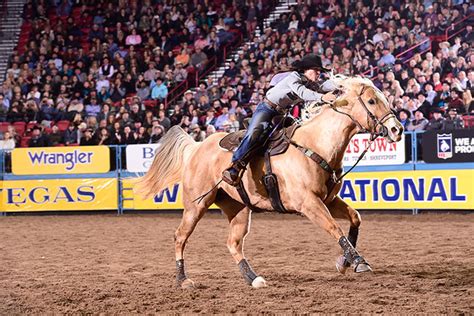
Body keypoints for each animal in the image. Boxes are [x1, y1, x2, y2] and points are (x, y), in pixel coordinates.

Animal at [136, 74, 404, 288]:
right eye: (372, 101)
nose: (397, 130)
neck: (315, 144)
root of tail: (196, 147)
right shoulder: (309, 204)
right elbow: (334, 228)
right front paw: (359, 261)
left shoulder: (329, 199)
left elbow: (355, 218)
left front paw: (345, 262)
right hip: (196, 204)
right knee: (180, 236)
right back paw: (183, 280)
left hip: (239, 209)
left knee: (233, 243)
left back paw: (253, 278)